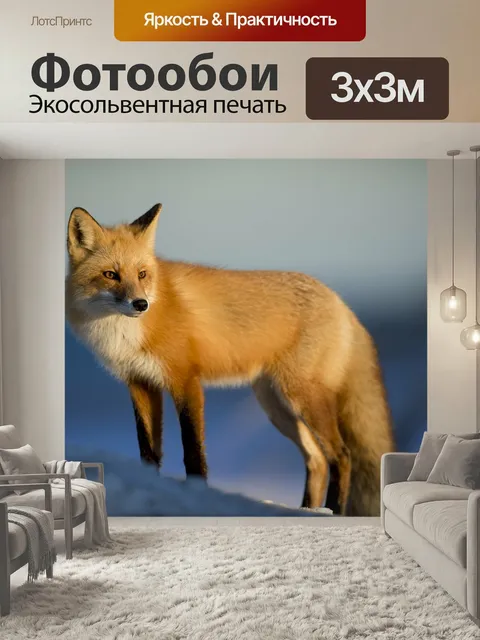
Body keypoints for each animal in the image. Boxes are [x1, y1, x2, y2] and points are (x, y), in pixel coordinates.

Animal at [65, 203, 395, 516]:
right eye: (111, 275)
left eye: (142, 274)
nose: (140, 304)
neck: (125, 332)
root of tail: (340, 302)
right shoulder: (140, 384)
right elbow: (148, 451)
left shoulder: (186, 381)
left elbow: (193, 450)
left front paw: (198, 494)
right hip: (277, 407)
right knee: (317, 460)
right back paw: (309, 510)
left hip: (303, 398)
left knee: (341, 455)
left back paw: (334, 511)